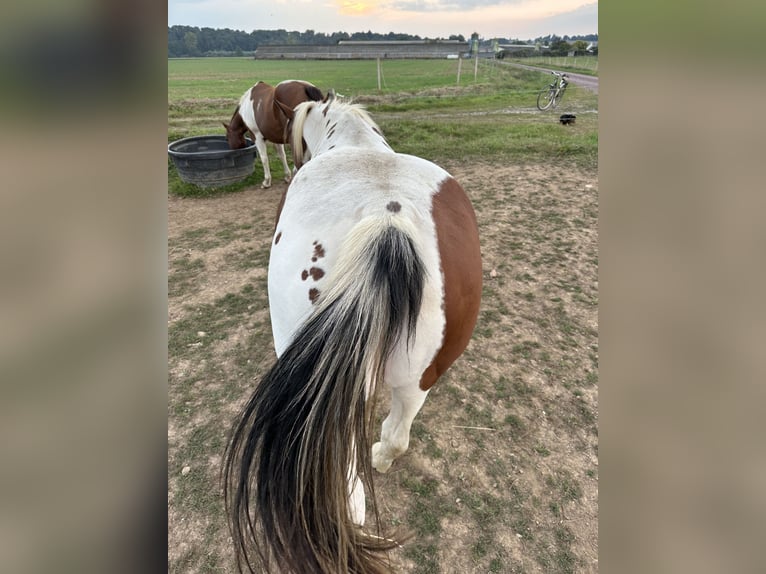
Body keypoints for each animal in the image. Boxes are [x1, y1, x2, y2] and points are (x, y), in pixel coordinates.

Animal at [222, 92, 484, 572]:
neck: (357, 143)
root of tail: (388, 221)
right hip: (422, 376)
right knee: (399, 432)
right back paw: (382, 456)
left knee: (346, 490)